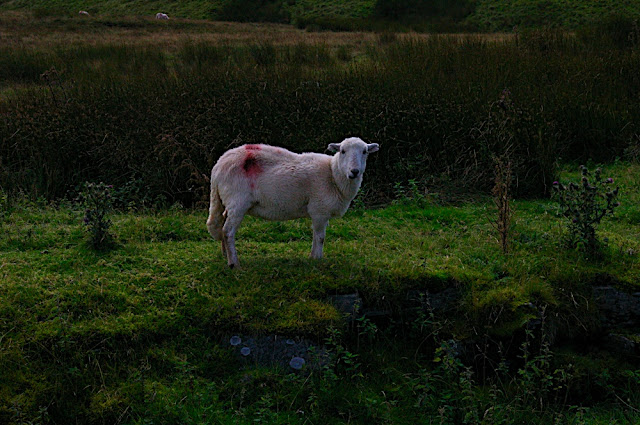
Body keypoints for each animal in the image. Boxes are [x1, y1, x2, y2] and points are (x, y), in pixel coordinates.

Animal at [208, 137, 380, 266]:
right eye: (342, 151)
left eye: (365, 152)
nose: (354, 172)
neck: (333, 175)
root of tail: (218, 166)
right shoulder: (319, 210)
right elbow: (320, 237)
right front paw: (316, 259)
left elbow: (317, 236)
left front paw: (313, 257)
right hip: (237, 202)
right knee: (227, 231)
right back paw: (234, 264)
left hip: (227, 201)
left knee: (222, 224)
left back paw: (225, 255)